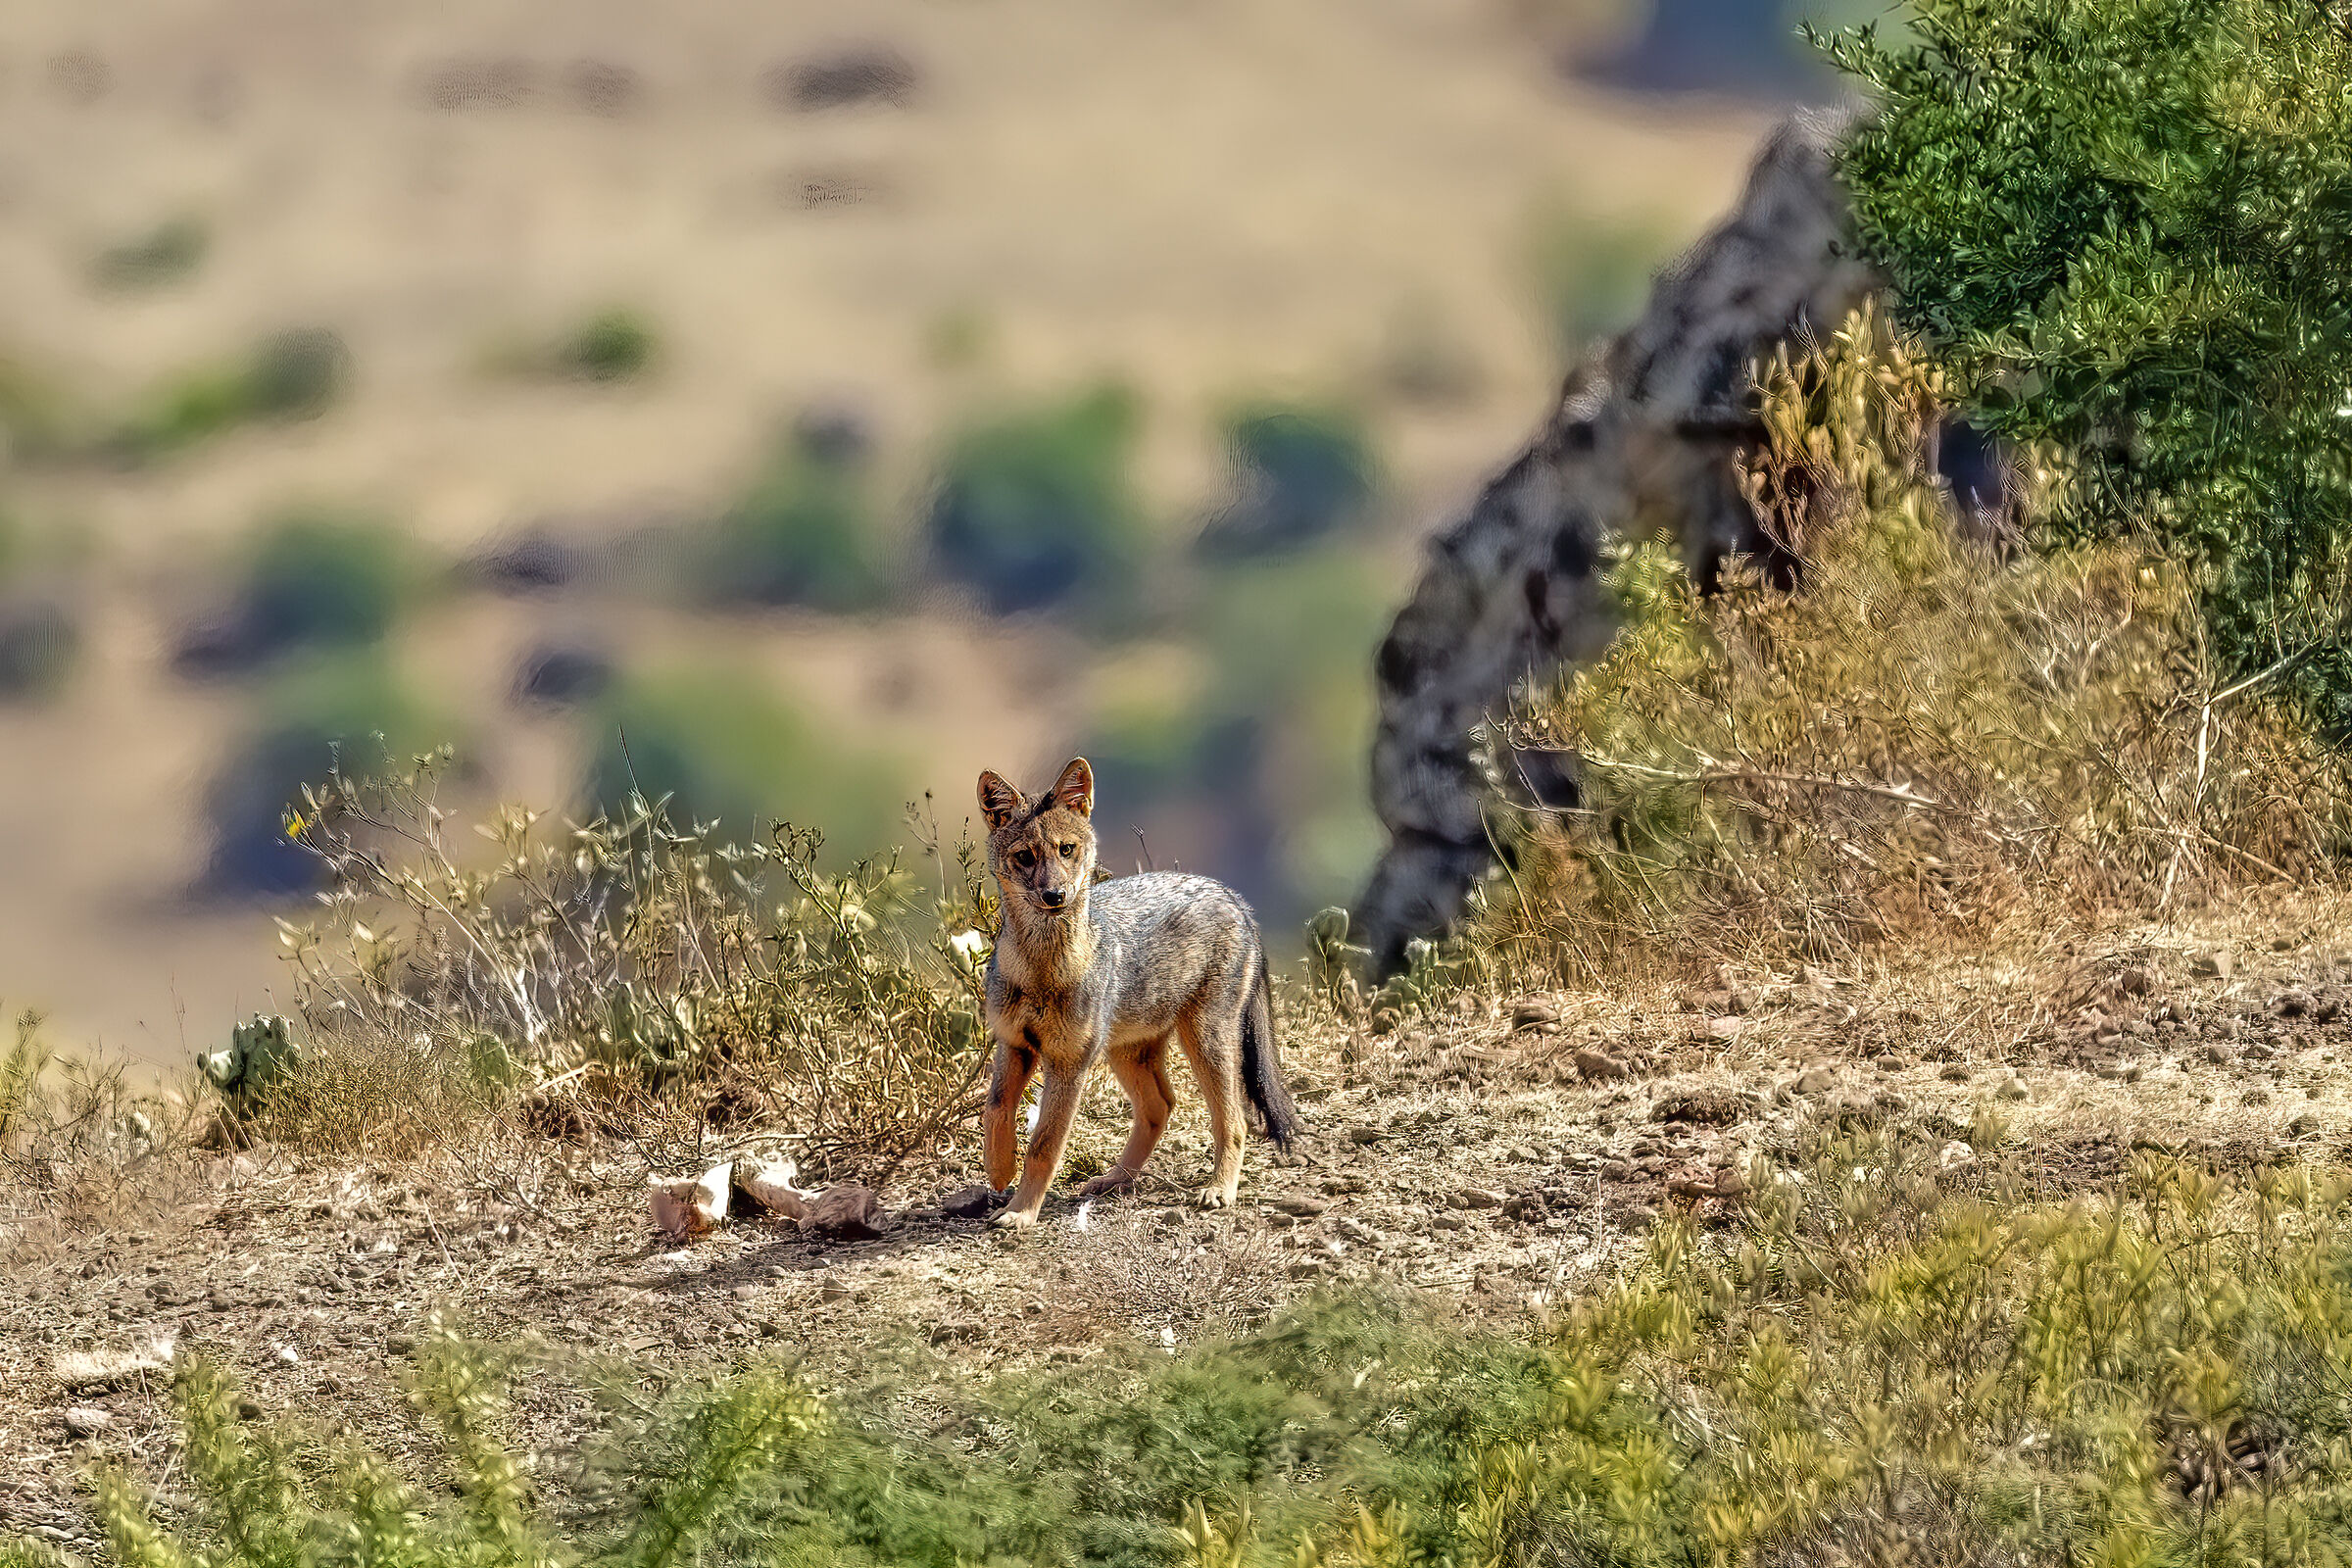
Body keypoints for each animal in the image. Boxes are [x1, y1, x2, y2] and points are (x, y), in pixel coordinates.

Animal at [974, 757, 1301, 1229]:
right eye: (1025, 857)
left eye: (1066, 850)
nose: (1055, 895)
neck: (1042, 971)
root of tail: (1233, 895)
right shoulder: (1014, 1044)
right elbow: (996, 1110)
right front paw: (999, 1169)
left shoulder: (1069, 1064)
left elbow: (1045, 1145)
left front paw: (1021, 1212)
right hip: (1126, 1054)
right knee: (1161, 1107)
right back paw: (1116, 1179)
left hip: (1204, 1044)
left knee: (1234, 1121)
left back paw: (1220, 1189)